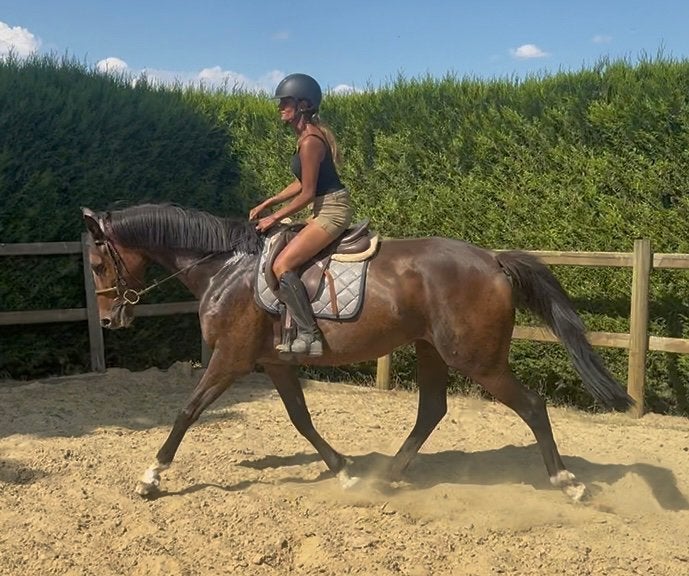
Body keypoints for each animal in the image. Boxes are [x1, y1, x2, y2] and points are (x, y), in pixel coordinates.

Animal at [82, 203, 633, 501]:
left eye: (97, 264)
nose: (109, 320)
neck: (226, 266)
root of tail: (493, 259)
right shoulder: (276, 363)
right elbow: (301, 420)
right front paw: (344, 471)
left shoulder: (231, 360)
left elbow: (187, 411)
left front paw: (151, 477)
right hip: (431, 350)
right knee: (432, 410)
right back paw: (386, 477)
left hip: (477, 359)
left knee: (532, 406)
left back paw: (567, 481)